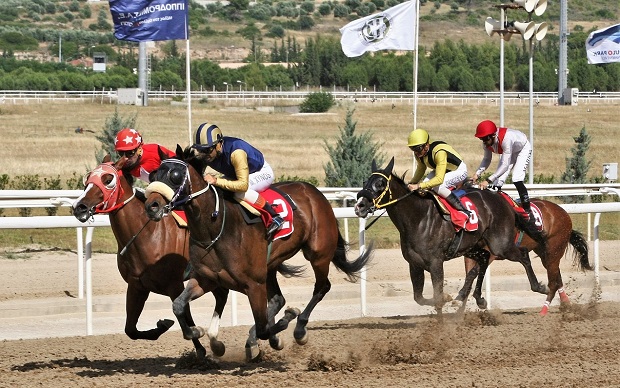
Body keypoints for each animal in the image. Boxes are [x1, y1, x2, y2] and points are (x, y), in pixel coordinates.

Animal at [71, 154, 229, 358]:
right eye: (88, 178)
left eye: (108, 180)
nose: (79, 207)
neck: (147, 235)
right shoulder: (137, 286)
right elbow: (130, 329)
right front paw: (163, 326)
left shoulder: (174, 285)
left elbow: (185, 315)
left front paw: (200, 346)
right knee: (222, 295)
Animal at [143, 146, 370, 360]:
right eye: (153, 175)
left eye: (175, 175)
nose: (151, 206)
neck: (215, 228)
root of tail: (314, 192)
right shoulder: (207, 279)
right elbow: (178, 305)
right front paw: (196, 331)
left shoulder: (254, 284)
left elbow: (264, 328)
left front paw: (283, 326)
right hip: (270, 265)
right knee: (278, 299)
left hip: (318, 254)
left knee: (322, 287)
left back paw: (299, 329)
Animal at [352, 157, 544, 316]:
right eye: (366, 181)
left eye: (381, 183)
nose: (359, 205)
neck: (418, 218)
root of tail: (504, 199)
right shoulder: (414, 264)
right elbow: (419, 298)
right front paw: (448, 298)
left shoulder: (436, 263)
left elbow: (437, 297)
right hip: (473, 246)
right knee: (483, 259)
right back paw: (478, 298)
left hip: (500, 245)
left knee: (523, 254)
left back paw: (540, 287)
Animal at [456, 196, 592, 316]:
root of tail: (563, 212)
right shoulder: (471, 254)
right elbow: (469, 277)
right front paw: (459, 312)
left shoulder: (493, 252)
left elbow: (473, 273)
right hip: (545, 253)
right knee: (556, 276)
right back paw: (565, 304)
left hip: (554, 248)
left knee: (553, 281)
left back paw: (544, 310)